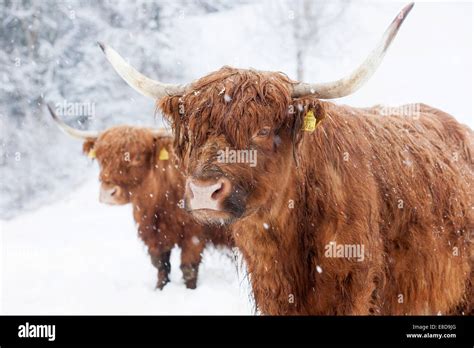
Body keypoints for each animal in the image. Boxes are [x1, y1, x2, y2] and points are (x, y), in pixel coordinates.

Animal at [47, 106, 232, 290]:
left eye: (137, 157)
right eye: (101, 158)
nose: (108, 193)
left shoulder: (194, 234)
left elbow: (189, 268)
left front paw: (189, 290)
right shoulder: (153, 233)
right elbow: (161, 266)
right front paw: (159, 289)